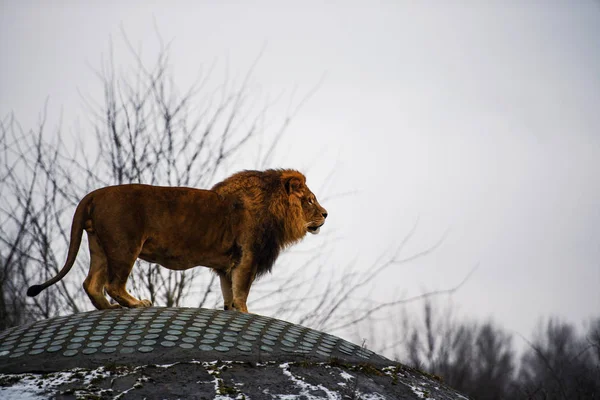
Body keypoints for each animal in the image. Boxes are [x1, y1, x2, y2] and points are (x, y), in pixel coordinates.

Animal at [25, 169, 328, 312]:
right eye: (310, 200)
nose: (326, 214)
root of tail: (94, 194)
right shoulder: (247, 257)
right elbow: (242, 291)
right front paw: (245, 313)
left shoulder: (227, 265)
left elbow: (228, 292)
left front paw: (231, 310)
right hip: (125, 246)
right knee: (113, 284)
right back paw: (137, 304)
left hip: (99, 246)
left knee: (91, 283)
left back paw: (109, 308)